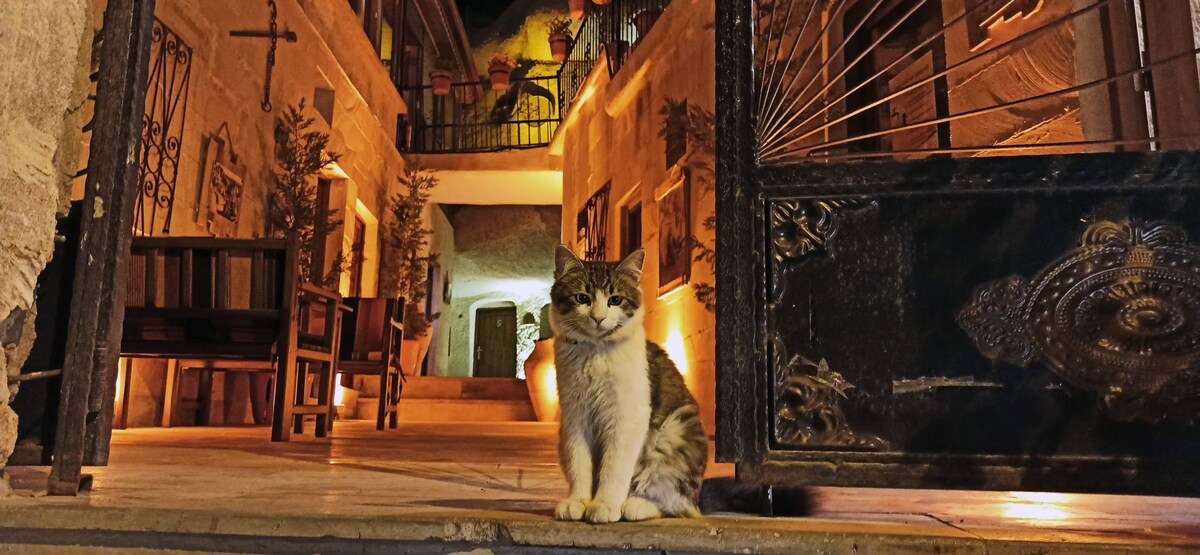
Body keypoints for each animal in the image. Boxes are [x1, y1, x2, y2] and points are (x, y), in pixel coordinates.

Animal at [549, 245, 705, 521]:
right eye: (582, 298)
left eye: (615, 300)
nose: (598, 318)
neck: (595, 351)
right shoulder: (575, 417)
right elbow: (580, 464)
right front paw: (578, 502)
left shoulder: (626, 418)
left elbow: (614, 468)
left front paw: (604, 504)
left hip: (674, 434)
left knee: (672, 502)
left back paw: (635, 506)